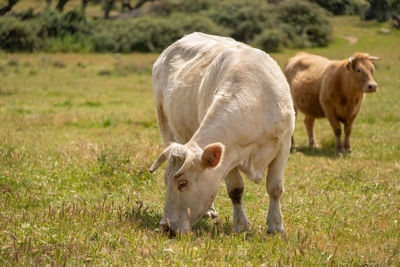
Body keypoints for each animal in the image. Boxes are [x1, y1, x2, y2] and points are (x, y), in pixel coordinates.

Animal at [149, 32, 294, 236]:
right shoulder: (229, 154)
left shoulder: (283, 144)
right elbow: (235, 190)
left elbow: (275, 188)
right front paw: (241, 225)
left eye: (182, 183)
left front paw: (275, 225)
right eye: (166, 182)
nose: (166, 226)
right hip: (165, 126)